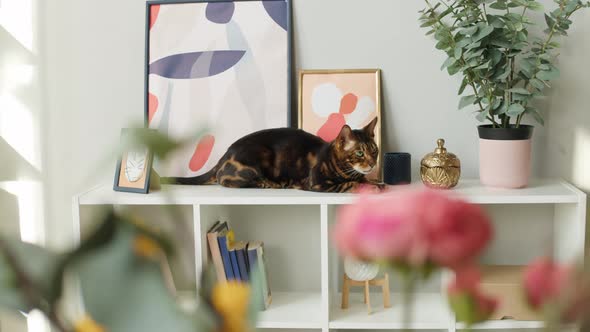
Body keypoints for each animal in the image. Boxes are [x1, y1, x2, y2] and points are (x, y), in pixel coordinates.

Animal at [172, 118, 384, 193]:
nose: (373, 164)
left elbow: (365, 180)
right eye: (359, 152)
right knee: (226, 180)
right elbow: (351, 184)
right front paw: (371, 187)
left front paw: (378, 183)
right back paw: (269, 183)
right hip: (256, 157)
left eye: (374, 150)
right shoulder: (317, 183)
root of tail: (223, 157)